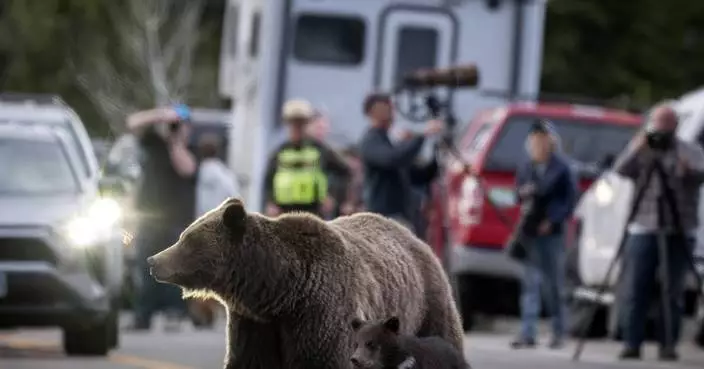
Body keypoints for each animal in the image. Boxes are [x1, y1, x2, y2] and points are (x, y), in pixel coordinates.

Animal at [147, 198, 462, 368]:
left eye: (187, 240)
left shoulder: (322, 316)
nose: (153, 260)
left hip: (427, 309)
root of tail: (415, 238)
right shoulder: (255, 325)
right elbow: (247, 360)